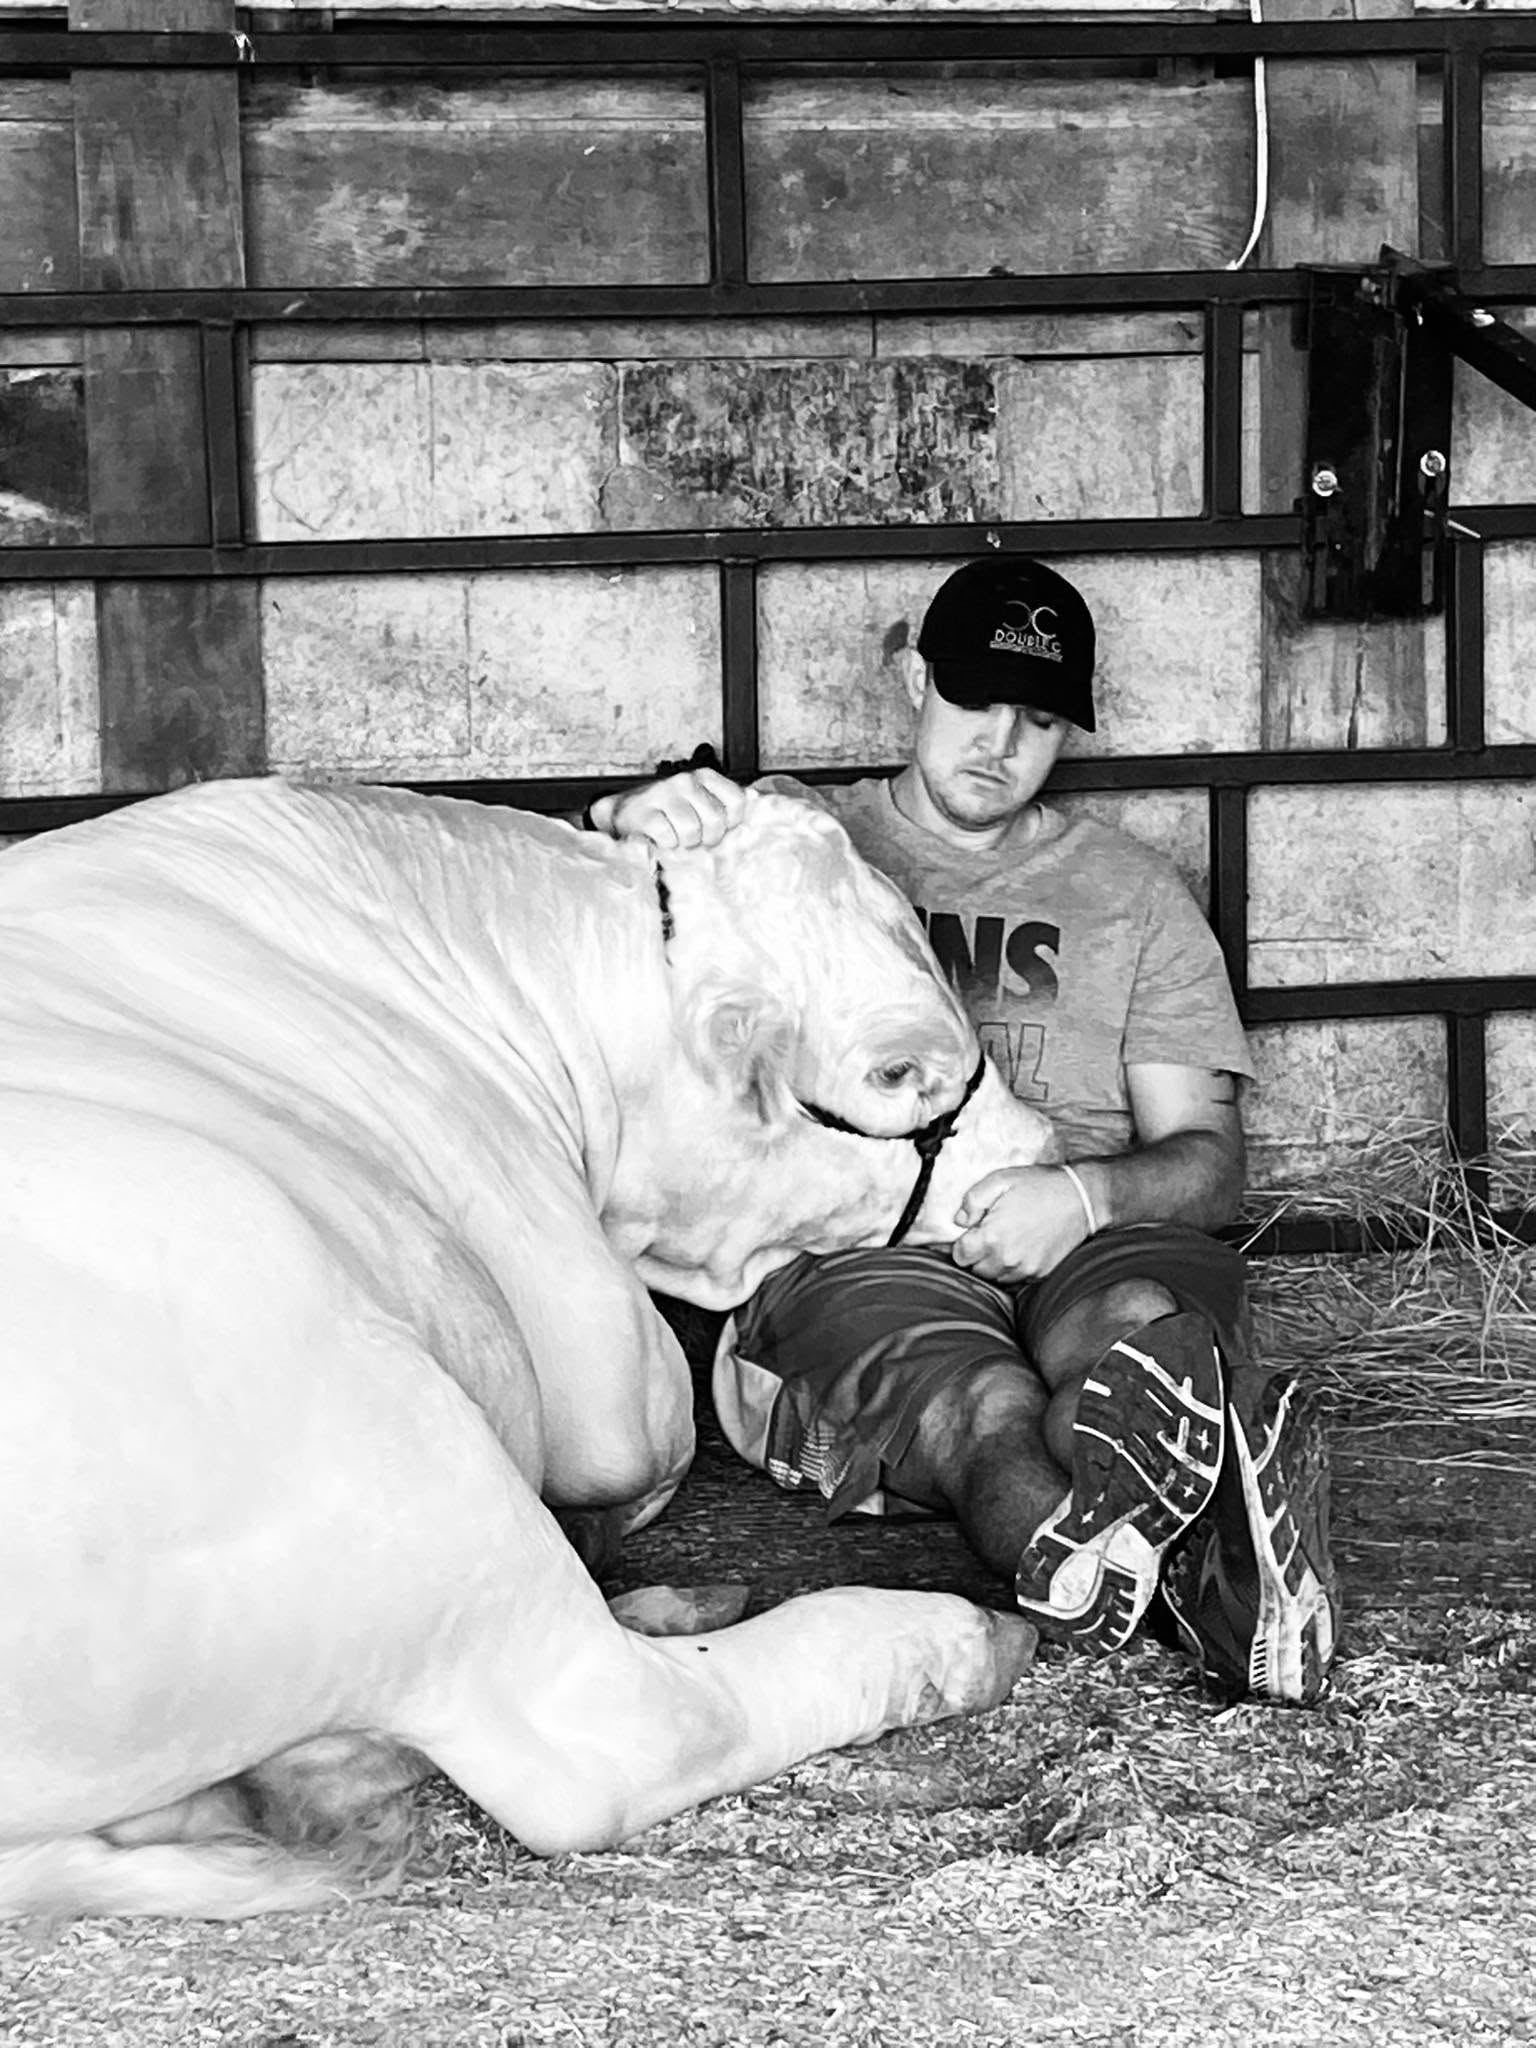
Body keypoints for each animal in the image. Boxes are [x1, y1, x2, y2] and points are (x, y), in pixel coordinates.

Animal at [0, 777, 1055, 1921]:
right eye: (898, 1070)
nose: (1043, 1157)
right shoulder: (591, 1329)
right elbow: (647, 1435)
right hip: (386, 1442)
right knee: (611, 1738)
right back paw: (956, 1636)